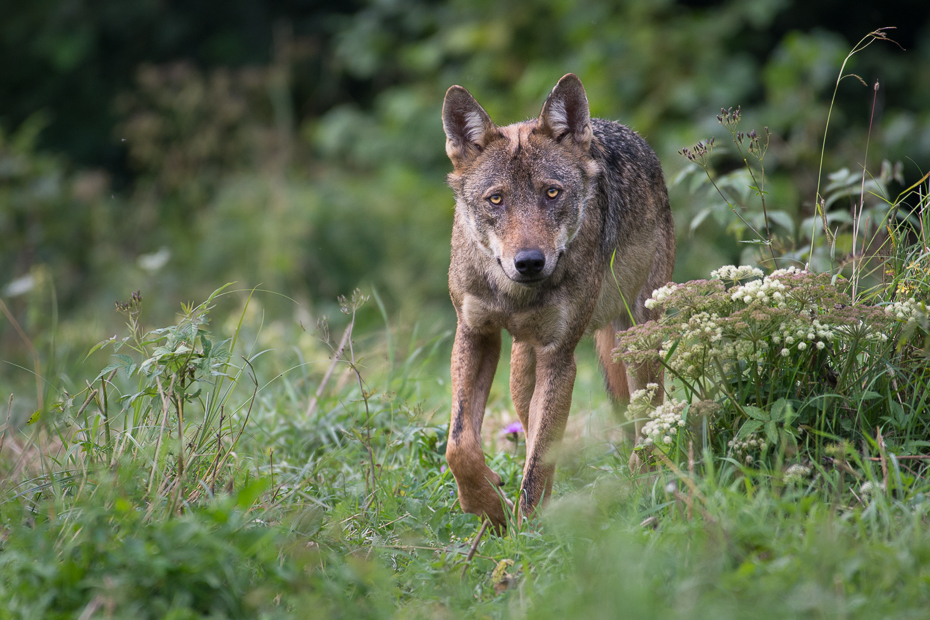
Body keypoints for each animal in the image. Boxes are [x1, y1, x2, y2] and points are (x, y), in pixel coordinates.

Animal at [438, 71, 672, 528]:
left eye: (551, 193)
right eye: (496, 199)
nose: (530, 261)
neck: (513, 293)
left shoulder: (559, 356)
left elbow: (539, 462)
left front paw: (527, 534)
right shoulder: (475, 333)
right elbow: (459, 444)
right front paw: (488, 505)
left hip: (636, 344)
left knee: (645, 424)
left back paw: (646, 486)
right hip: (520, 367)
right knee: (528, 428)